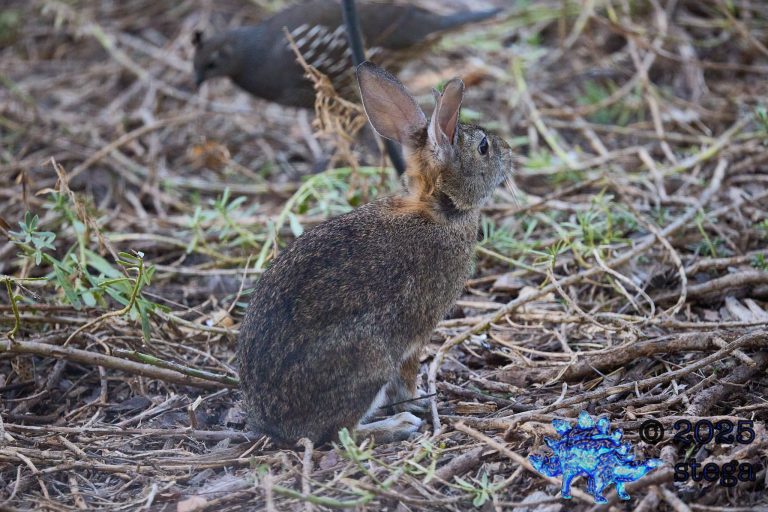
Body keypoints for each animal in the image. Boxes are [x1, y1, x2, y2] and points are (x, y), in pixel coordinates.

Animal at [236, 61, 513, 445]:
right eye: (484, 147)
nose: (509, 151)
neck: (436, 208)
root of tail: (273, 424)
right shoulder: (416, 335)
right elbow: (408, 375)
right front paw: (415, 403)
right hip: (369, 360)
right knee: (342, 432)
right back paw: (397, 425)